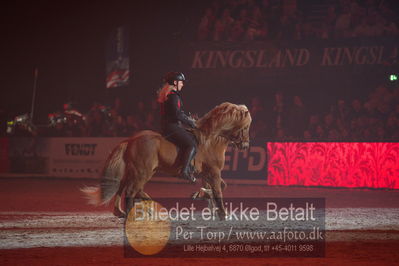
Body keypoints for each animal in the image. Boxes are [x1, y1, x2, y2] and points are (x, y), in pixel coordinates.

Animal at [81, 102, 253, 220]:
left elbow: (219, 187)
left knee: (124, 187)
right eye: (245, 127)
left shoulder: (207, 173)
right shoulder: (214, 171)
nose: (245, 145)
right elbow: (218, 191)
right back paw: (134, 213)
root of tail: (130, 140)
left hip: (139, 171)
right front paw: (223, 214)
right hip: (142, 172)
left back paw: (127, 210)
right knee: (130, 190)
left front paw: (202, 195)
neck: (211, 139)